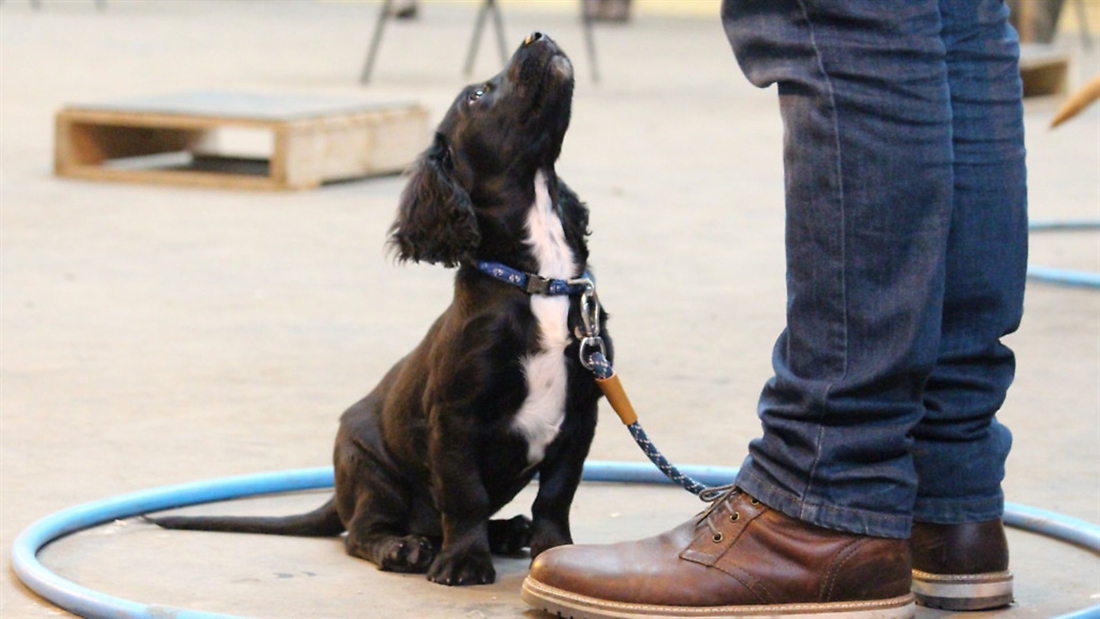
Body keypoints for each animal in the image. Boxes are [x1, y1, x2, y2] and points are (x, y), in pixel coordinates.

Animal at [147, 32, 611, 584]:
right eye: (476, 96)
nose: (536, 35)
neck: (539, 280)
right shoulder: (455, 417)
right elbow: (465, 496)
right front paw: (464, 562)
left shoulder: (581, 413)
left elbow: (556, 495)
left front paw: (555, 552)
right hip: (369, 467)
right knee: (361, 532)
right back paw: (404, 548)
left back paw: (506, 532)